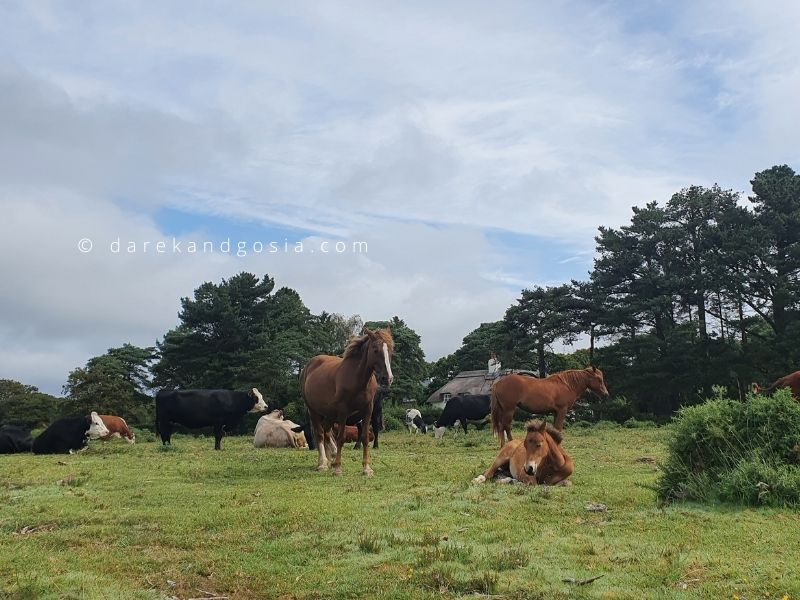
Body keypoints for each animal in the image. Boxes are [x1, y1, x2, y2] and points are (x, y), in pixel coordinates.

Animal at [300, 326, 394, 476]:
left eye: (391, 350)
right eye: (375, 349)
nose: (388, 378)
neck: (357, 378)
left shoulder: (368, 410)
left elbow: (365, 437)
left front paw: (367, 468)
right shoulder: (343, 411)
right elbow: (340, 438)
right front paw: (338, 467)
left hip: (330, 414)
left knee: (326, 432)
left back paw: (331, 457)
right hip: (314, 411)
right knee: (320, 434)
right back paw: (323, 463)